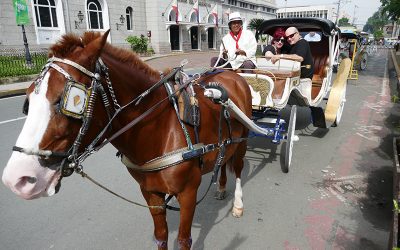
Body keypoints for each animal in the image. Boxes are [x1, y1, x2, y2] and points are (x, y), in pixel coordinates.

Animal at [1, 30, 252, 249]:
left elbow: (183, 240)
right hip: (225, 141)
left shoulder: (188, 192)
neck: (162, 127)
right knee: (223, 158)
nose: (17, 179)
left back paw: (239, 204)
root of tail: (232, 73)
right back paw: (221, 187)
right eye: (28, 101)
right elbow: (161, 235)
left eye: (68, 99)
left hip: (243, 141)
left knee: (238, 167)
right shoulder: (150, 192)